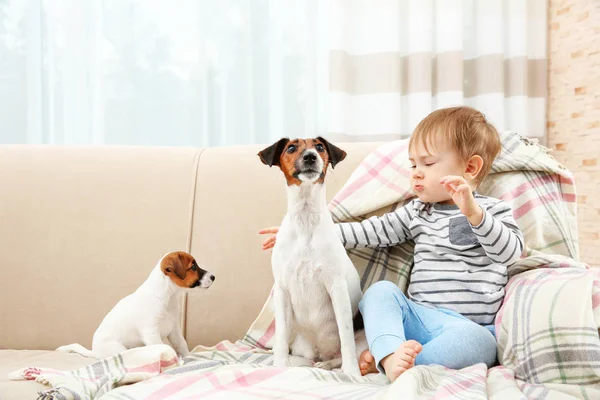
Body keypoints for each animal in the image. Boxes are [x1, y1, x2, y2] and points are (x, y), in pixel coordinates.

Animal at [56, 250, 214, 360]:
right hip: (119, 349)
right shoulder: (151, 333)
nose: (213, 276)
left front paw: (188, 357)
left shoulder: (174, 329)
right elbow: (165, 348)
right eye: (193, 267)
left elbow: (181, 344)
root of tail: (95, 352)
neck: (167, 297)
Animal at [256, 137, 364, 376]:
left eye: (320, 147)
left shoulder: (337, 287)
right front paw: (279, 366)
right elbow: (281, 336)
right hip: (299, 346)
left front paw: (352, 373)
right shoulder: (282, 290)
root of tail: (320, 353)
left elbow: (346, 337)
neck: (305, 218)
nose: (310, 157)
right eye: (291, 148)